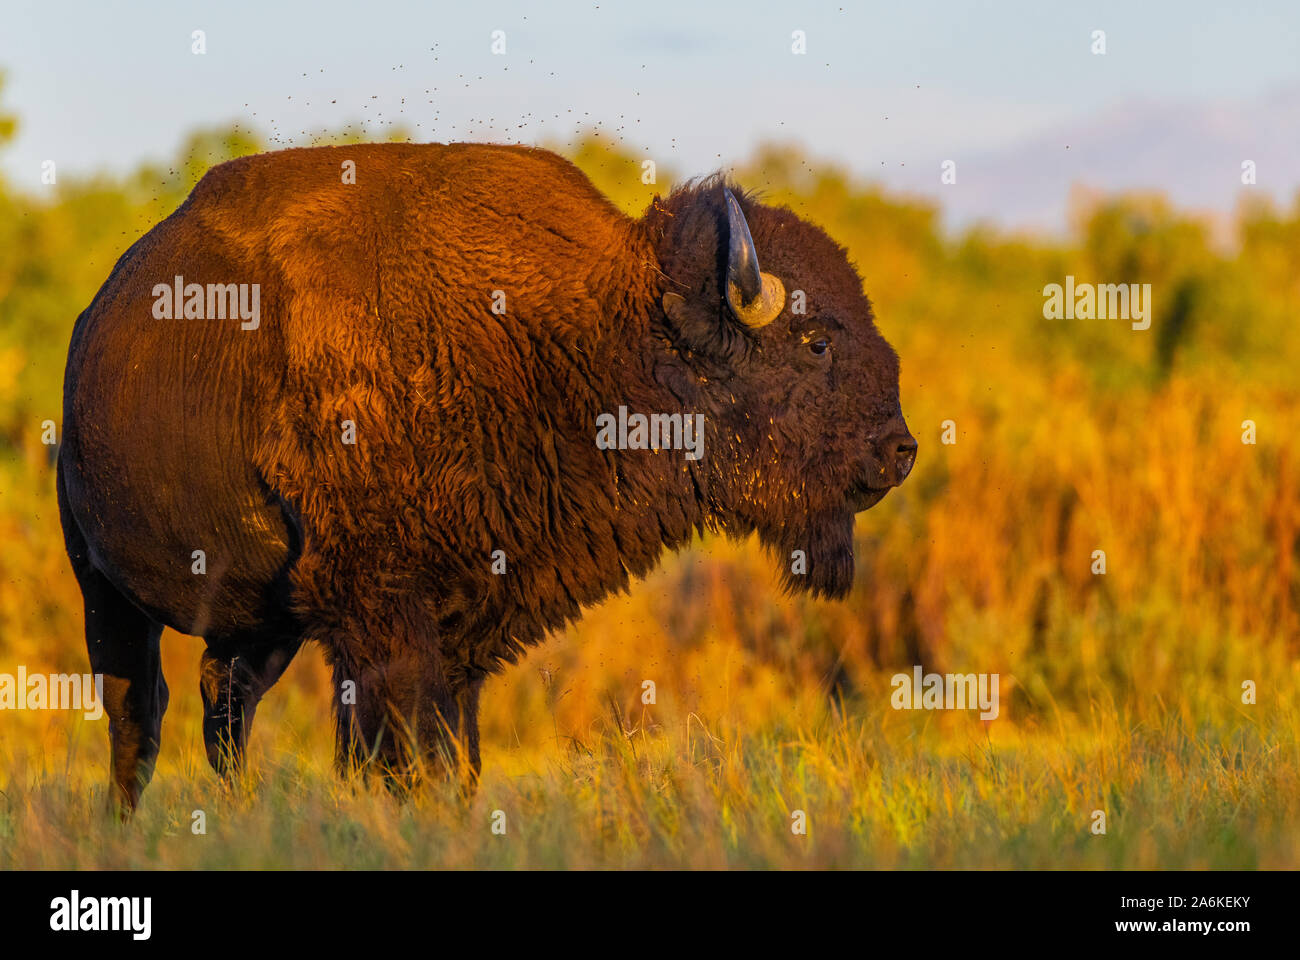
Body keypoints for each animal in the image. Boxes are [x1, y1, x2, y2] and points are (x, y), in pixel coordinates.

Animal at [58, 141, 915, 806]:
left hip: (262, 623)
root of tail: (94, 319)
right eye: (816, 340)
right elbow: (401, 751)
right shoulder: (381, 618)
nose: (900, 451)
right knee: (140, 716)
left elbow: (450, 752)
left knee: (223, 703)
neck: (595, 332)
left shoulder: (461, 628)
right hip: (104, 587)